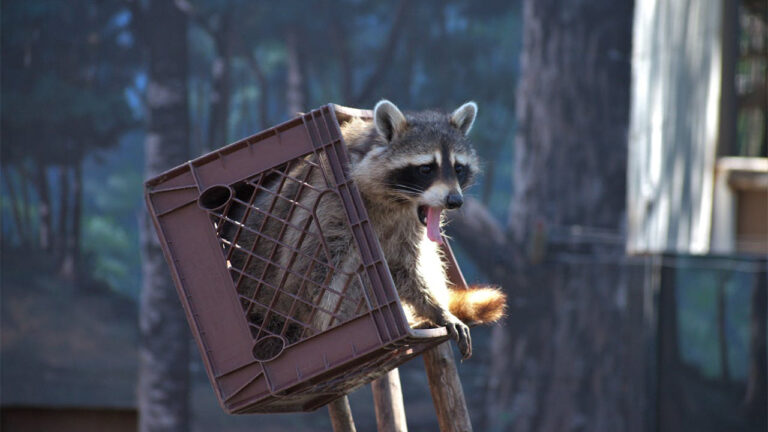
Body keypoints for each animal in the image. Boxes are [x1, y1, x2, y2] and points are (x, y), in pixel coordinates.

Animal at [224, 100, 506, 359]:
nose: (454, 201)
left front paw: (436, 308)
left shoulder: (409, 226)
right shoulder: (327, 202)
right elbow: (308, 271)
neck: (399, 203)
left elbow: (409, 267)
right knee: (353, 274)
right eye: (426, 169)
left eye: (458, 168)